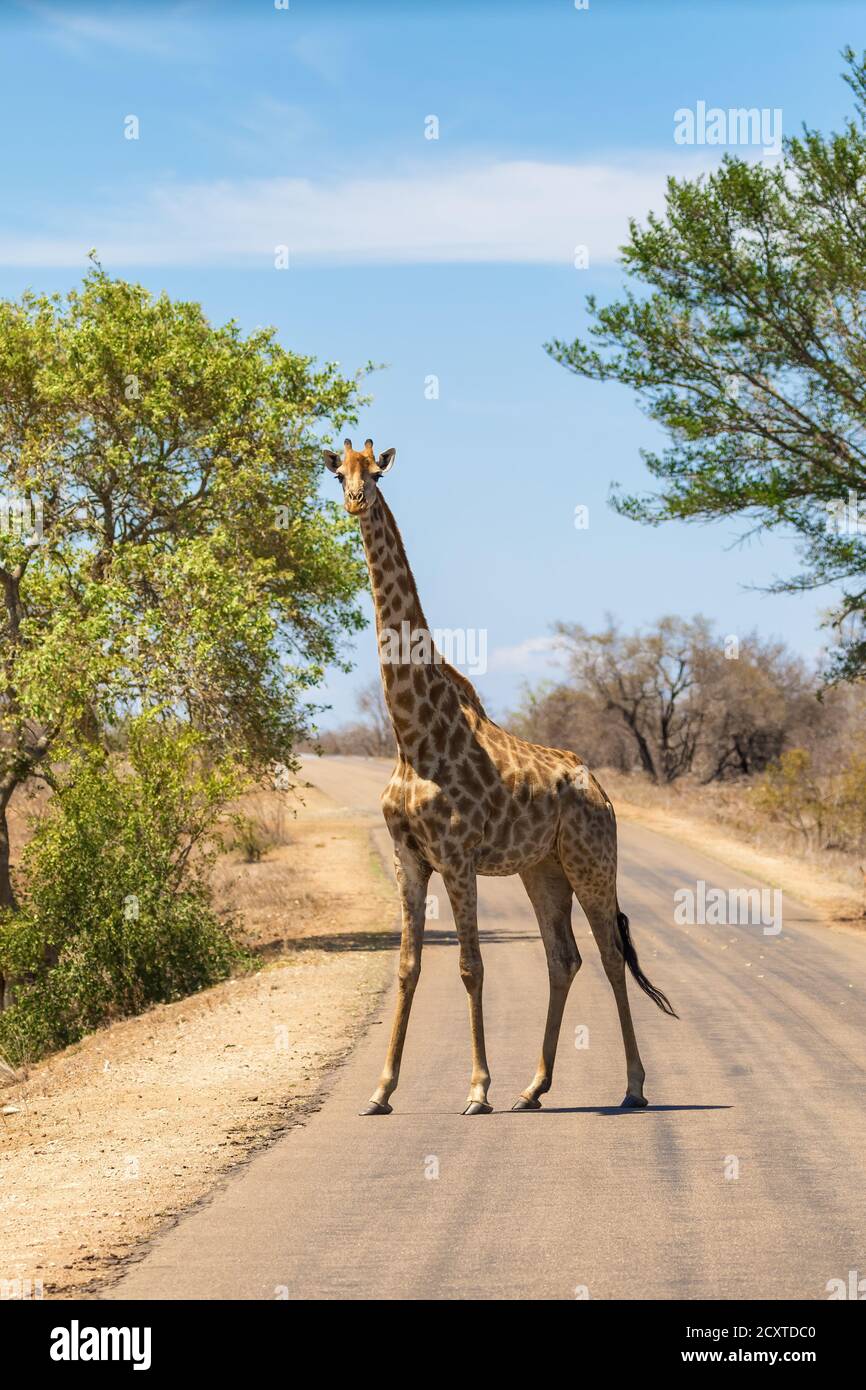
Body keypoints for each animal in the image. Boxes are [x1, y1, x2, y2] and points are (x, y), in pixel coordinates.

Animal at [323, 438, 677, 1116]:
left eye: (376, 473)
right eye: (339, 472)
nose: (355, 501)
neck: (412, 735)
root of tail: (603, 793)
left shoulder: (457, 856)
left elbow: (470, 966)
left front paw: (477, 1089)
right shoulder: (410, 857)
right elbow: (407, 966)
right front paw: (381, 1091)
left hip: (593, 863)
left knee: (610, 955)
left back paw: (634, 1086)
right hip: (543, 870)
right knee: (563, 958)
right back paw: (534, 1087)